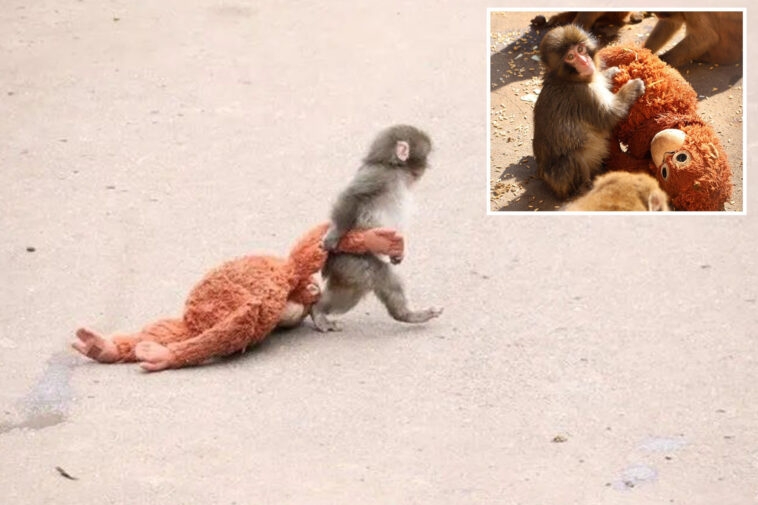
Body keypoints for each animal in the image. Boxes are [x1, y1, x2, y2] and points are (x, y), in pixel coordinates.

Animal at [310, 125, 443, 332]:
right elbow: (352, 196)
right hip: (349, 260)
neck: (394, 168)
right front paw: (334, 234)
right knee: (378, 276)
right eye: (426, 156)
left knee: (355, 292)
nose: (427, 167)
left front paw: (397, 254)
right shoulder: (379, 175)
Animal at [532, 25, 645, 199]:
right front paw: (633, 87)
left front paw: (610, 72)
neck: (568, 79)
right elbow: (609, 115)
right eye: (571, 57)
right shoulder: (584, 95)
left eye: (580, 49)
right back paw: (585, 188)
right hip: (561, 180)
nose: (585, 62)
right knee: (573, 158)